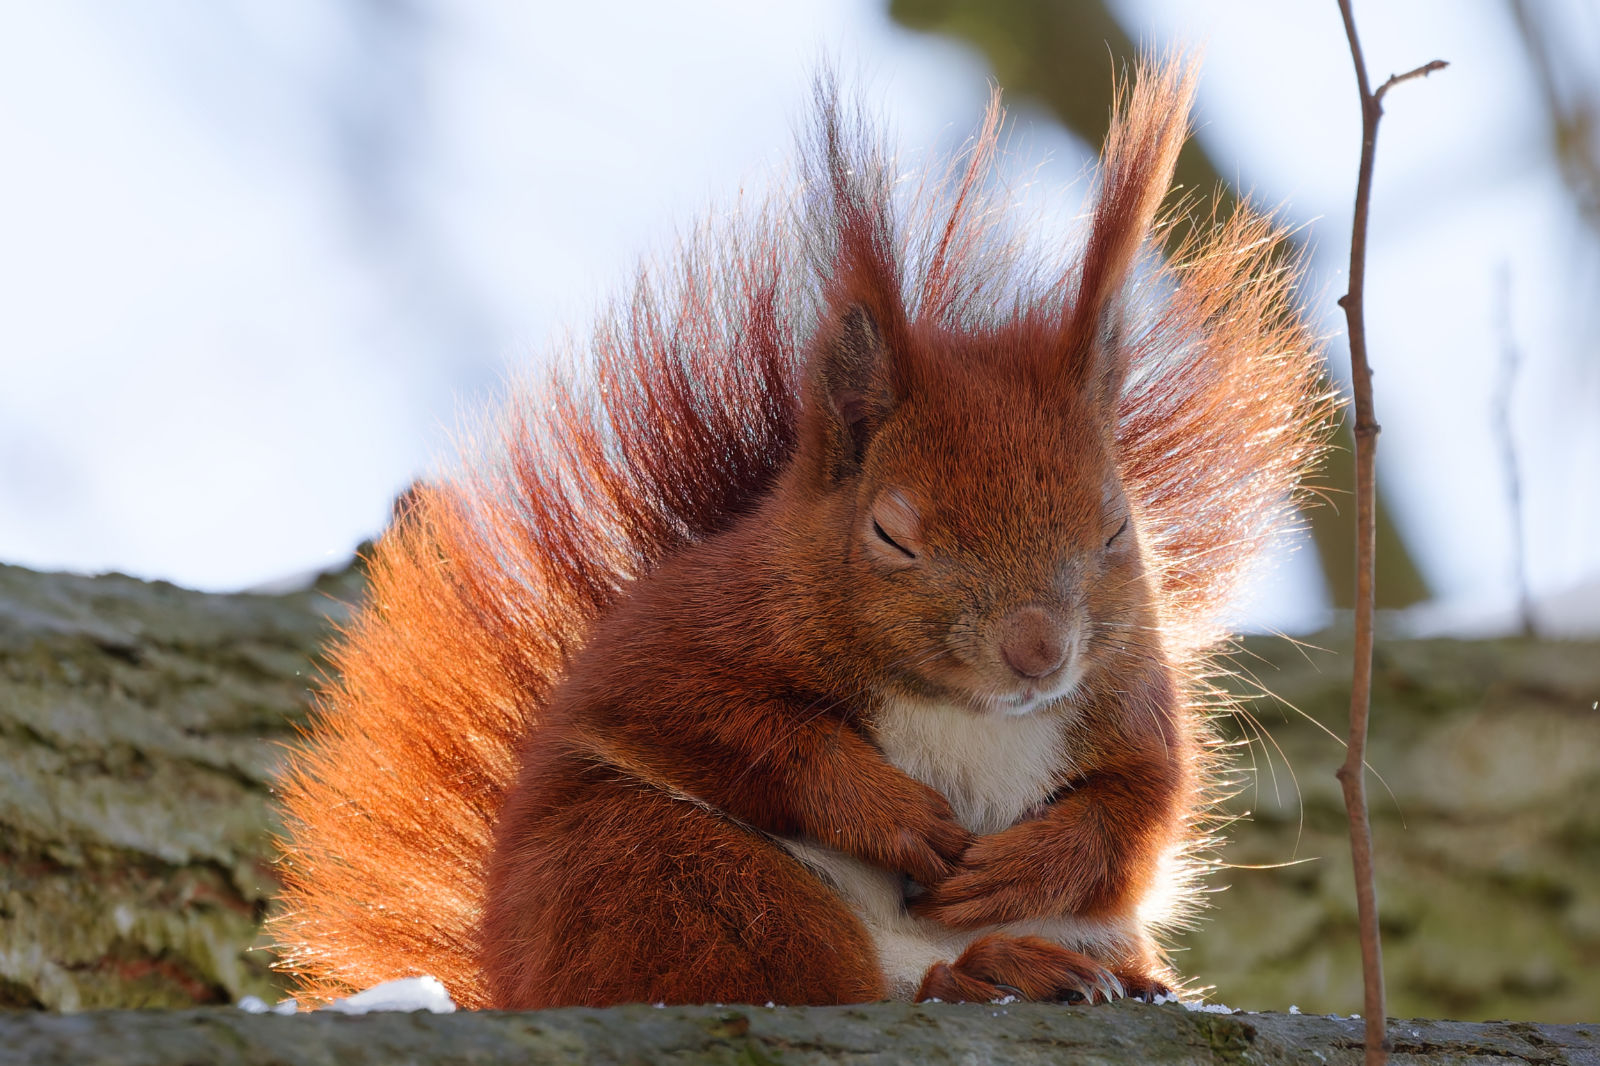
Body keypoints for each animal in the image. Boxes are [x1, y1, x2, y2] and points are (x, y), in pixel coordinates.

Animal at [270, 56, 1332, 1010]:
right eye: (892, 533)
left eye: (1117, 527)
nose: (1038, 653)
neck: (967, 709)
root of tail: (521, 979)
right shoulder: (685, 634)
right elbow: (728, 725)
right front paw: (890, 812)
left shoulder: (1132, 701)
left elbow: (1141, 809)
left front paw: (1022, 863)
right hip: (671, 872)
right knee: (810, 975)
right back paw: (974, 973)